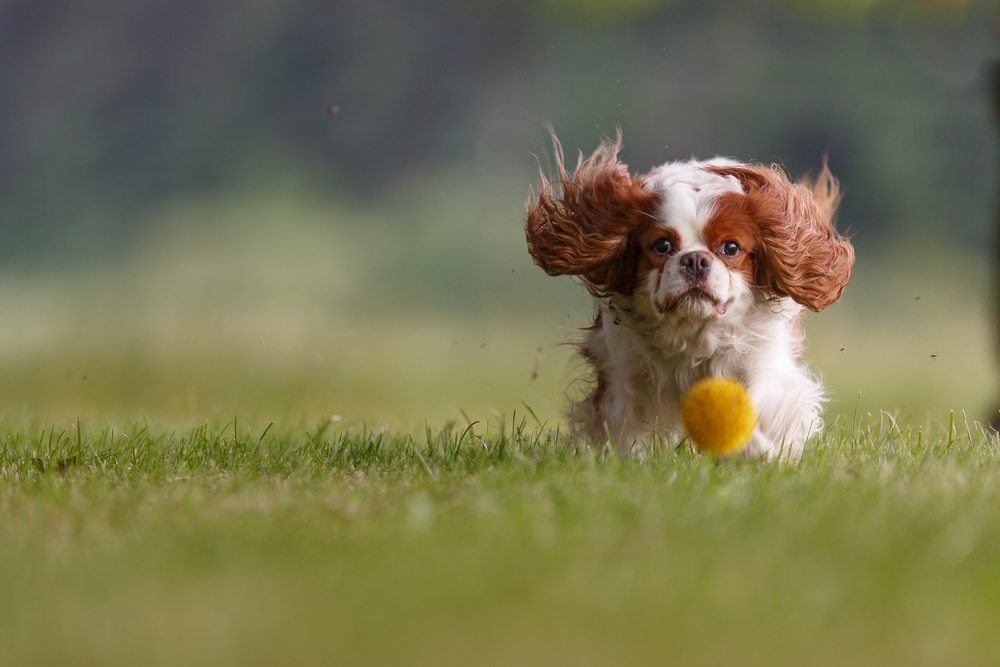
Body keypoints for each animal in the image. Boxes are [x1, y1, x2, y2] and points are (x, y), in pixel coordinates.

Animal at [524, 136, 852, 460]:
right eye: (662, 245)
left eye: (731, 248)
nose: (694, 260)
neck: (693, 334)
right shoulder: (623, 371)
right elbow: (624, 426)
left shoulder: (760, 360)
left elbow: (755, 404)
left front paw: (757, 450)